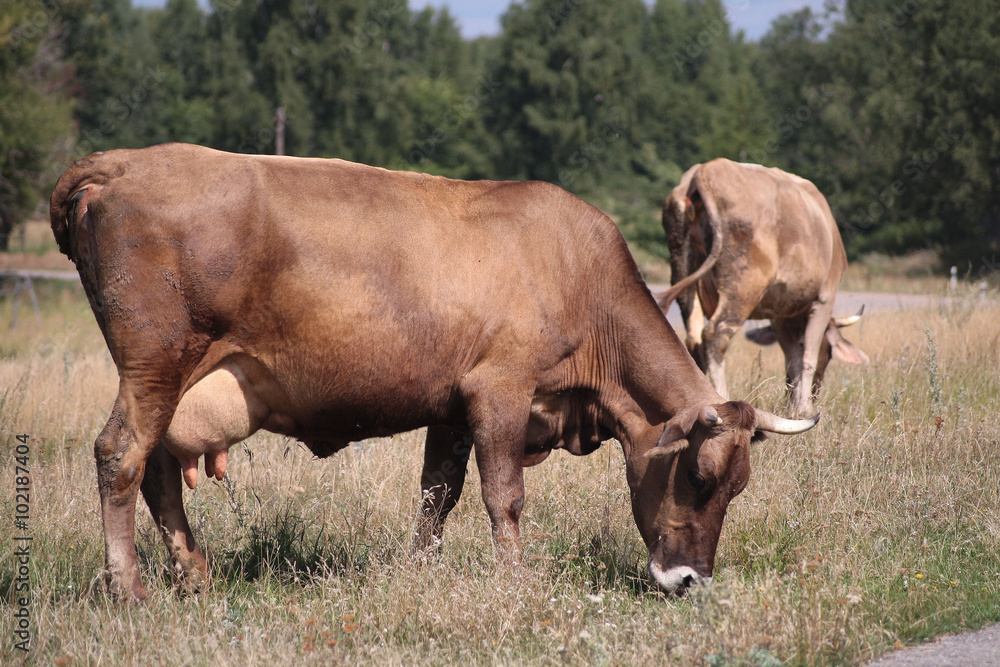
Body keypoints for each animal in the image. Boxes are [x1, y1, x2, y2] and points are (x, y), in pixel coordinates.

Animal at [50, 144, 816, 604]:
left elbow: (436, 495)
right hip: (155, 363)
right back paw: (129, 589)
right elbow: (503, 496)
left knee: (155, 468)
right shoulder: (499, 391)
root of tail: (122, 164)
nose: (689, 581)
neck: (577, 274)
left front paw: (421, 573)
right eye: (700, 476)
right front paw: (516, 583)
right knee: (121, 455)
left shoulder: (451, 406)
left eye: (737, 487)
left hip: (168, 381)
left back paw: (195, 575)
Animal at [656, 159, 868, 414]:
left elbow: (793, 359)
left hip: (685, 276)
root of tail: (706, 170)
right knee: (715, 336)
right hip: (743, 287)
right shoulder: (825, 299)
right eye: (829, 354)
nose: (817, 393)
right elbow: (807, 357)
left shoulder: (779, 313)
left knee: (693, 339)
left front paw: (793, 406)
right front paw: (804, 409)